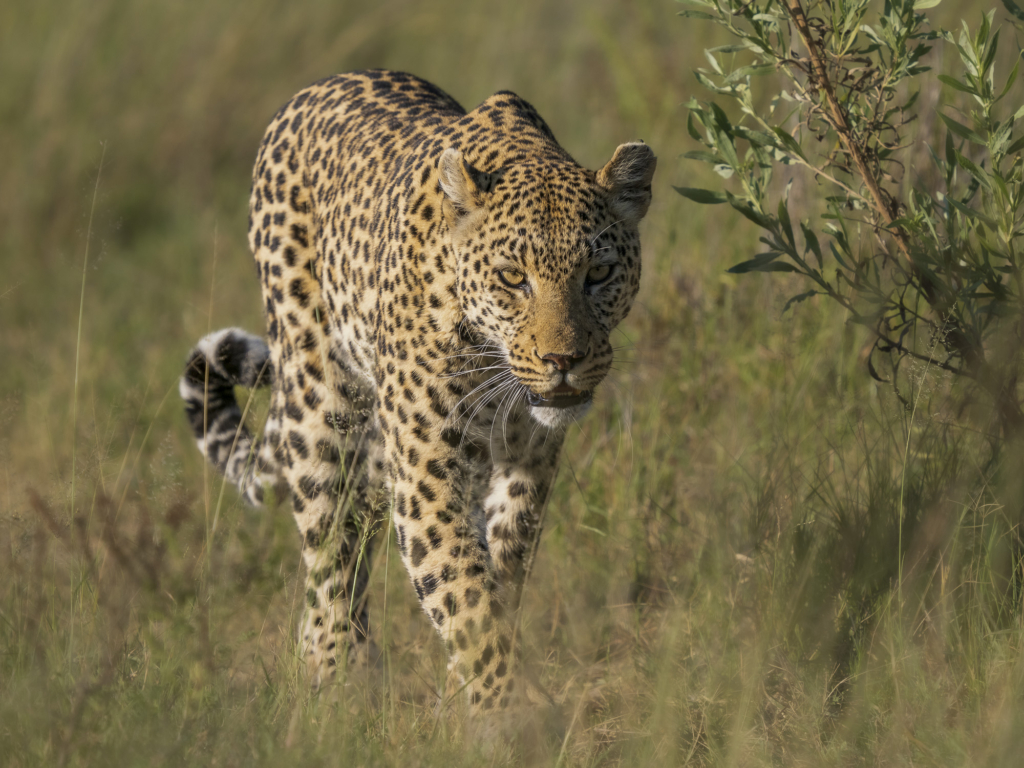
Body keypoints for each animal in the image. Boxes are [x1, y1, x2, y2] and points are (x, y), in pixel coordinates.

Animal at [178, 67, 655, 720]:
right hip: (318, 405)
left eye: (599, 273)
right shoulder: (426, 470)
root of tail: (318, 86)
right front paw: (502, 713)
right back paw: (334, 684)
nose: (564, 362)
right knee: (329, 559)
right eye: (513, 278)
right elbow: (463, 588)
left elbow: (497, 578)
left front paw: (464, 696)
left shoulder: (527, 463)